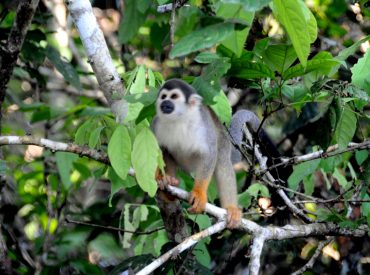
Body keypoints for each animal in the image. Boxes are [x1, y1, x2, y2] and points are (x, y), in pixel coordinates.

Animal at [151, 78, 241, 229]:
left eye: (174, 96)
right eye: (163, 97)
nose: (165, 103)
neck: (179, 119)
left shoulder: (204, 124)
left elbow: (209, 154)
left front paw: (199, 193)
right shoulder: (155, 124)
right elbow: (154, 151)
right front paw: (160, 177)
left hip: (223, 140)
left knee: (222, 161)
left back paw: (231, 208)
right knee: (167, 151)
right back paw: (169, 185)